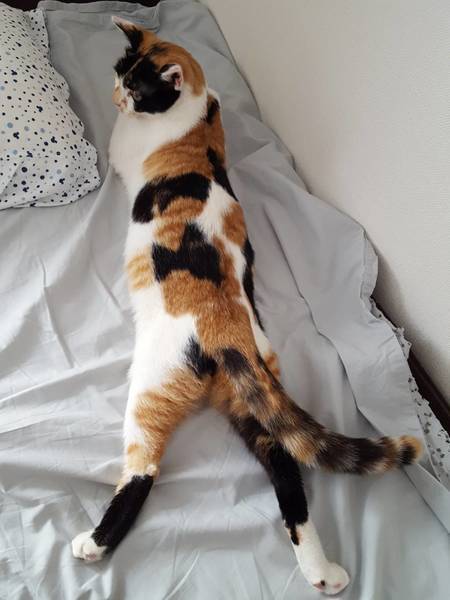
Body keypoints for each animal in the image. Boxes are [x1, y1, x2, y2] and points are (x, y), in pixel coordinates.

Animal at [71, 17, 423, 595]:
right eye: (121, 72)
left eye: (135, 87)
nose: (116, 94)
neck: (193, 115)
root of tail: (229, 330)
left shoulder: (123, 147)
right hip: (256, 404)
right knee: (288, 474)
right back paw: (322, 572)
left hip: (152, 383)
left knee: (144, 469)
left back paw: (94, 543)